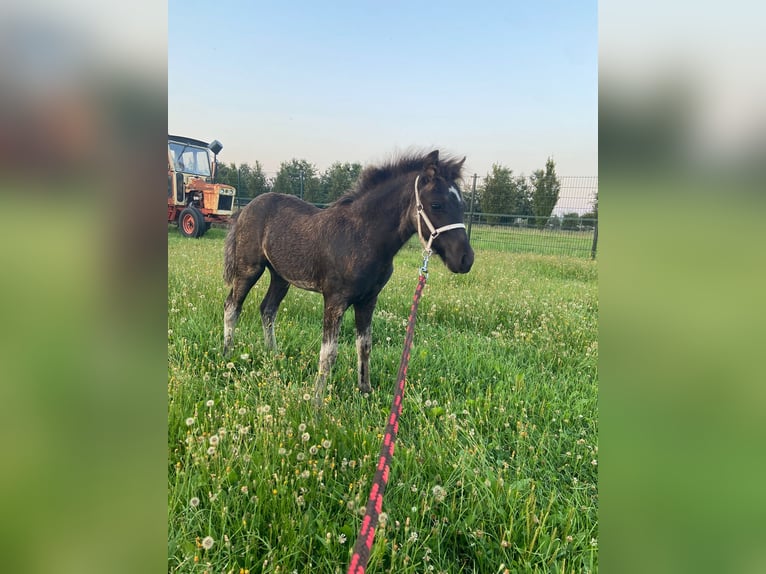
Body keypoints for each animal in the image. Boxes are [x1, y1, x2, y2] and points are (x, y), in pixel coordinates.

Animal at [222, 151, 474, 408]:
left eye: (462, 205)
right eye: (436, 204)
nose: (465, 259)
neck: (361, 236)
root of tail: (246, 208)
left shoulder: (368, 300)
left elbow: (364, 346)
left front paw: (365, 391)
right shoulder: (335, 300)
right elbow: (329, 352)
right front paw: (317, 402)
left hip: (280, 277)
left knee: (267, 309)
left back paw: (273, 355)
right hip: (249, 269)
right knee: (232, 306)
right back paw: (226, 356)